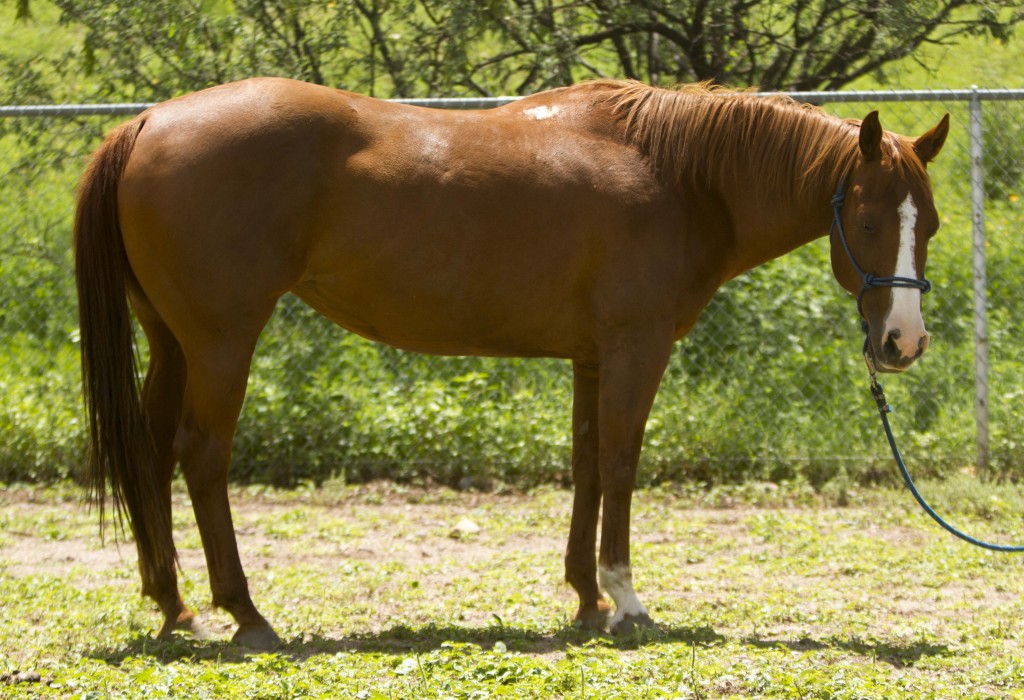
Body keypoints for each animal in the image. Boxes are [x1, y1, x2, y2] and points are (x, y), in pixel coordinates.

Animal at [74, 78, 949, 648]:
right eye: (869, 219)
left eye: (930, 222)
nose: (902, 342)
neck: (675, 173)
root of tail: (147, 123)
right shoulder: (636, 345)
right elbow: (622, 461)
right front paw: (626, 598)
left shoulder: (593, 356)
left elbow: (588, 463)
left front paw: (587, 598)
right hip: (222, 341)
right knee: (202, 456)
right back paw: (246, 615)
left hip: (171, 343)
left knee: (149, 457)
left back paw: (175, 608)